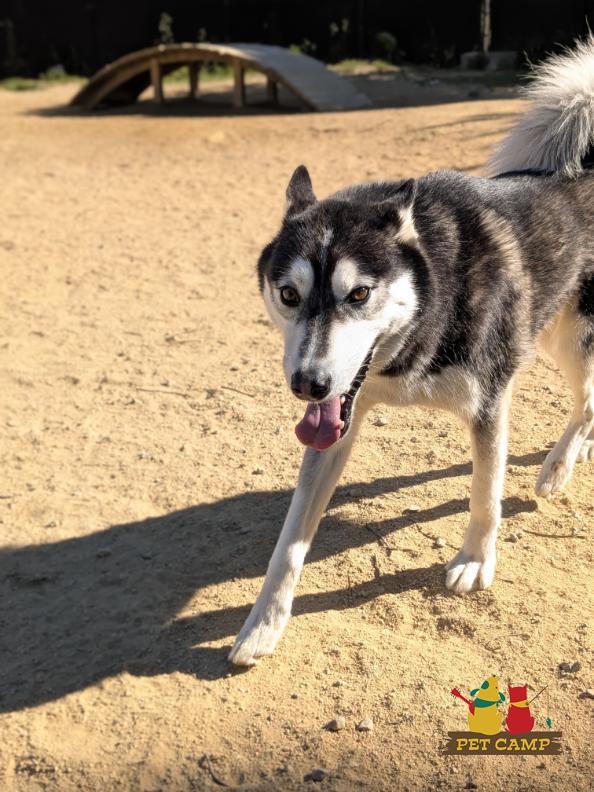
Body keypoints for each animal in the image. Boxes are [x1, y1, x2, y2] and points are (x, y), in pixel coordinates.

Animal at [229, 38, 594, 666]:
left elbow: (485, 492)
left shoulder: (489, 403)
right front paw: (262, 624)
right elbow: (290, 541)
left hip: (571, 336)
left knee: (588, 399)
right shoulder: (338, 421)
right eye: (288, 295)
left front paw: (474, 560)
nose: (308, 385)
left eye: (359, 294)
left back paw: (556, 468)